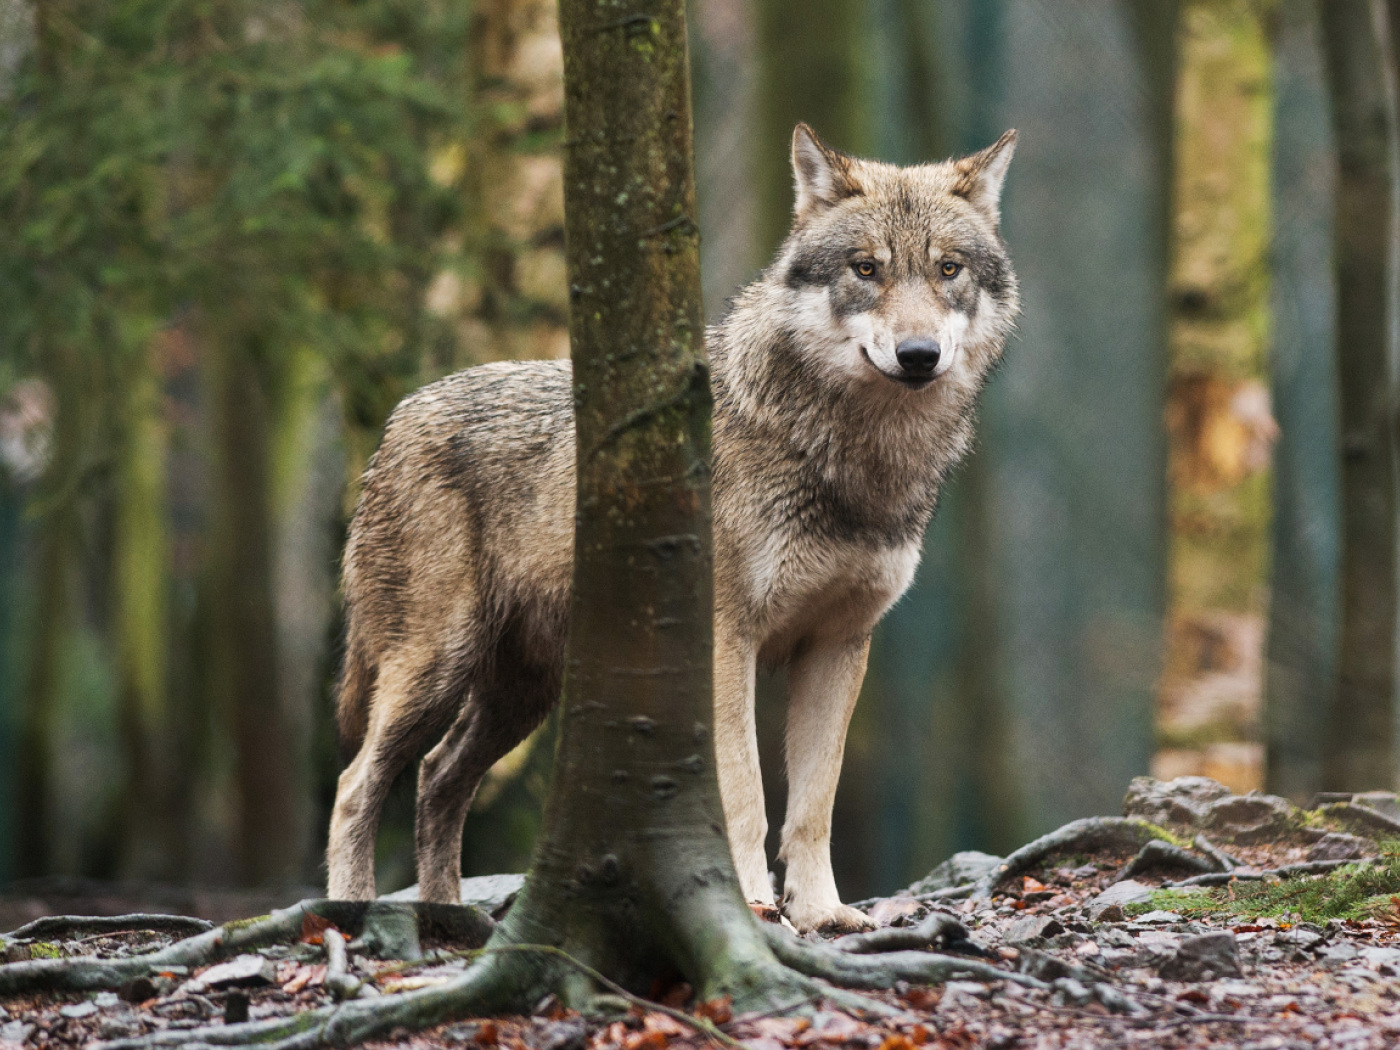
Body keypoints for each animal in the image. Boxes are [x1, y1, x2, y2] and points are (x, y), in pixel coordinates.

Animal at [326, 125, 1019, 935]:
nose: (918, 355)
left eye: (948, 269)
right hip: (436, 668)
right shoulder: (727, 641)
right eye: (866, 268)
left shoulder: (839, 645)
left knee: (437, 779)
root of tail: (399, 417)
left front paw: (823, 914)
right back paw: (350, 912)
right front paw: (751, 904)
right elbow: (746, 794)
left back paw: (447, 918)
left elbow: (814, 804)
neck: (850, 459)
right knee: (356, 784)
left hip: (520, 695)